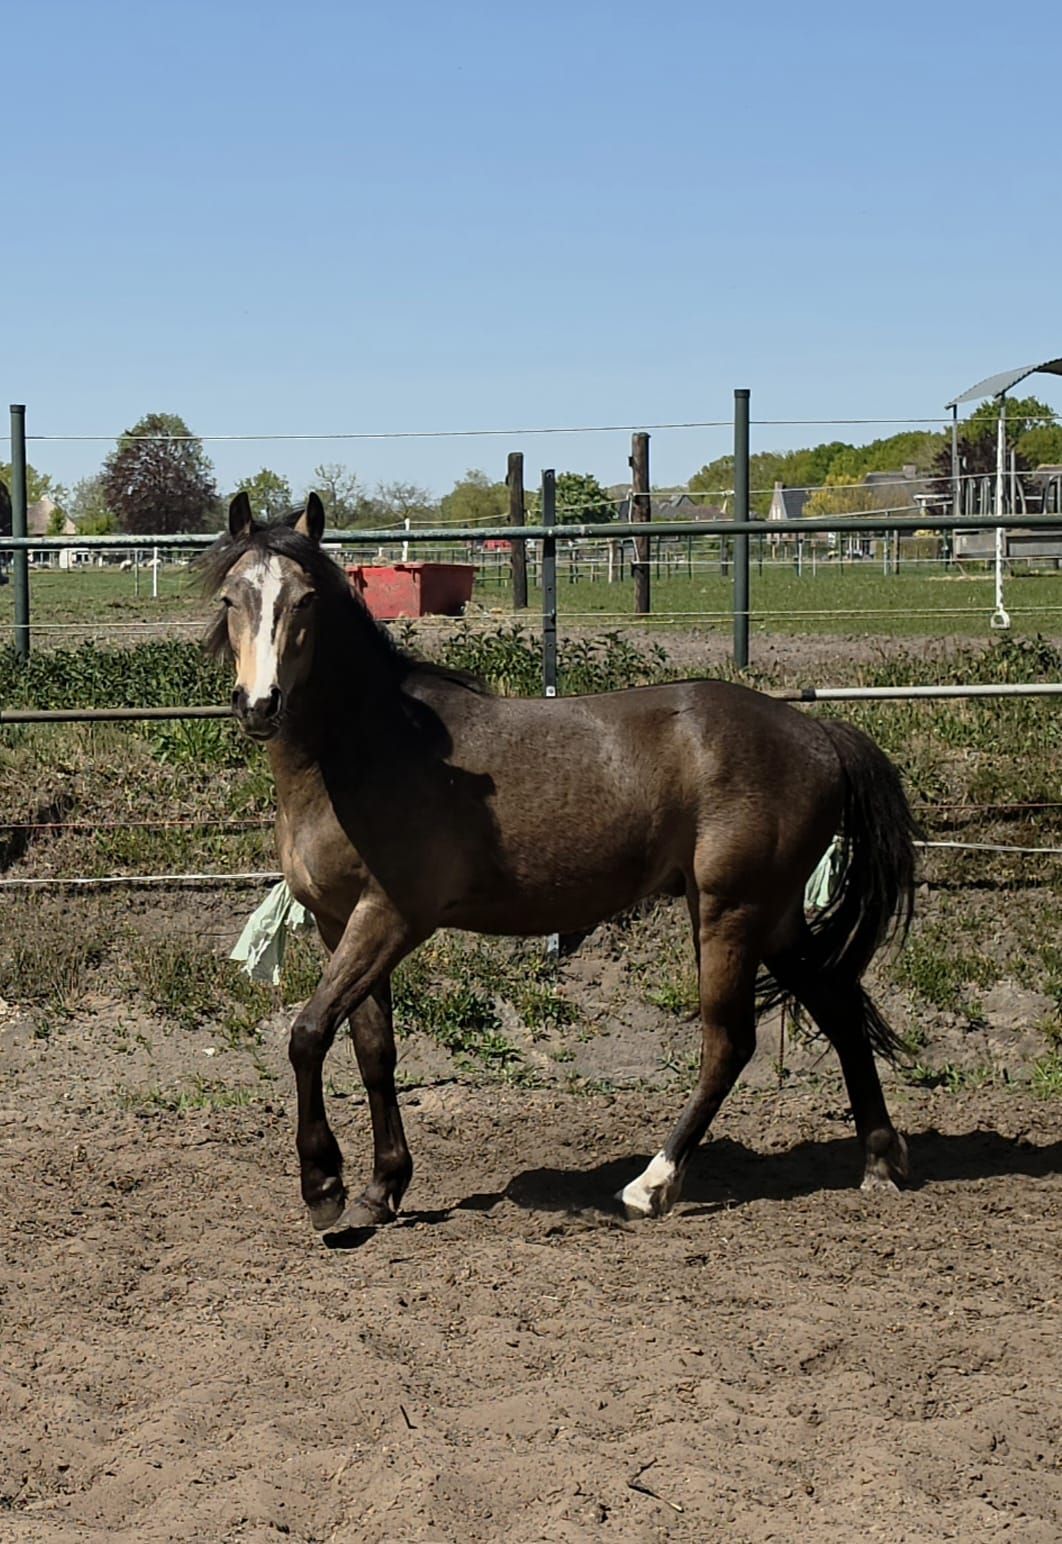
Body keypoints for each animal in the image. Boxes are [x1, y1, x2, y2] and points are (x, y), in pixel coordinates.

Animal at [203, 491, 919, 1235]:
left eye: (306, 599)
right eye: (231, 597)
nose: (260, 704)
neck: (365, 751)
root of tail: (818, 732)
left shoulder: (391, 918)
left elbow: (309, 1032)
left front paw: (324, 1186)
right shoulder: (337, 922)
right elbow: (373, 1049)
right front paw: (382, 1187)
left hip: (732, 912)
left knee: (731, 1042)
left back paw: (651, 1185)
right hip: (770, 915)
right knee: (839, 1006)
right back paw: (880, 1161)